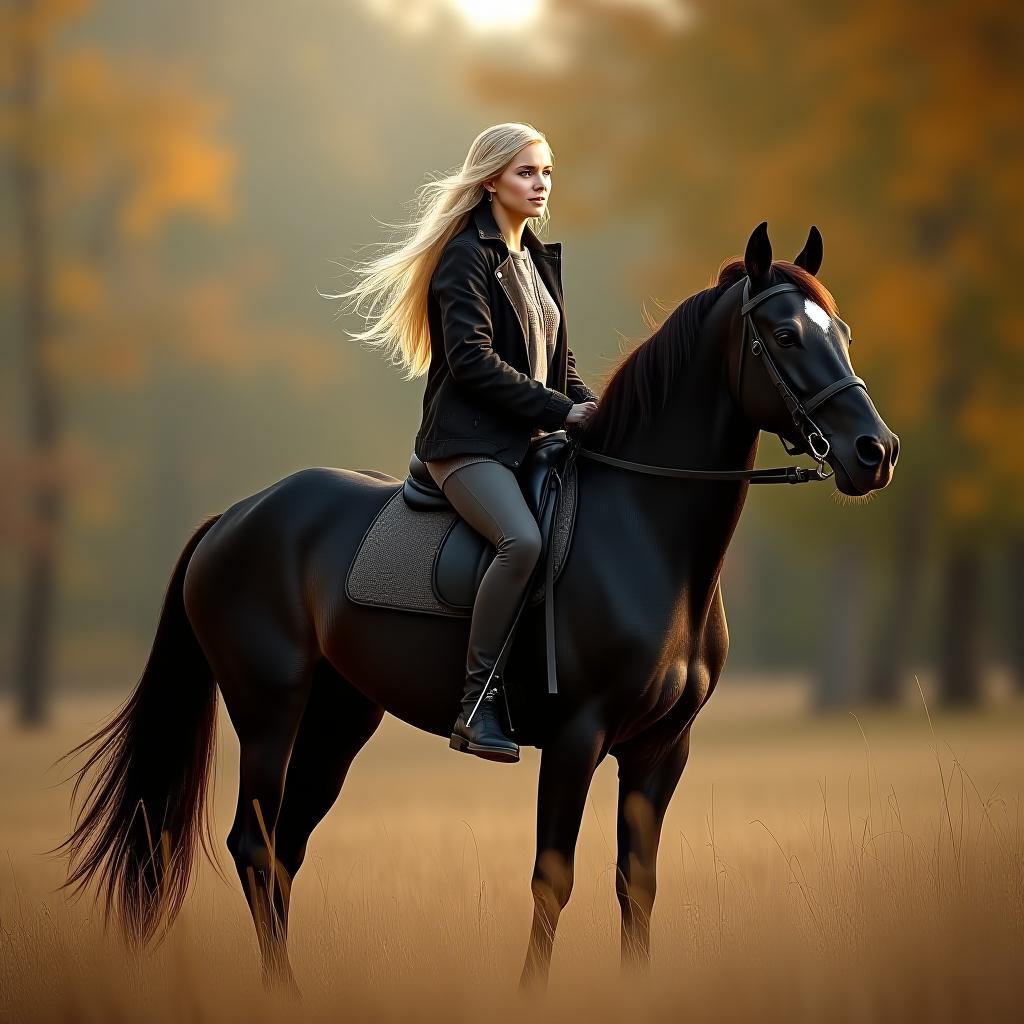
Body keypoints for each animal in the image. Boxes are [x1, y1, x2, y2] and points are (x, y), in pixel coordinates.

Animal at [49, 222, 897, 991]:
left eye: (842, 332)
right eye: (785, 334)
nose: (876, 453)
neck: (645, 535)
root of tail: (234, 516)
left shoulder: (664, 749)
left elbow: (637, 884)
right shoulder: (577, 738)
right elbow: (554, 878)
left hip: (338, 718)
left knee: (284, 852)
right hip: (267, 711)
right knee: (256, 848)